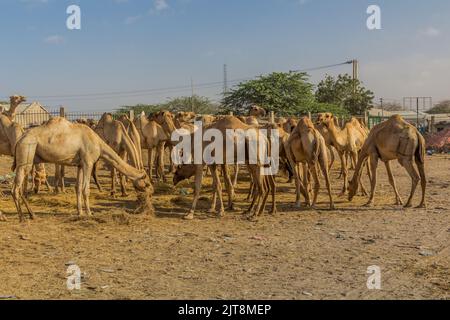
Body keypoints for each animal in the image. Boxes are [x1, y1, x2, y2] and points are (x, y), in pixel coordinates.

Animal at [11, 116, 153, 221]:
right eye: (146, 183)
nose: (151, 191)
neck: (99, 144)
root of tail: (19, 140)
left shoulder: (80, 165)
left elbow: (78, 188)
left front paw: (79, 212)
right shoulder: (88, 162)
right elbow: (86, 189)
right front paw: (89, 213)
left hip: (28, 158)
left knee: (20, 187)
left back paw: (32, 215)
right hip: (26, 152)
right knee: (16, 188)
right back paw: (22, 217)